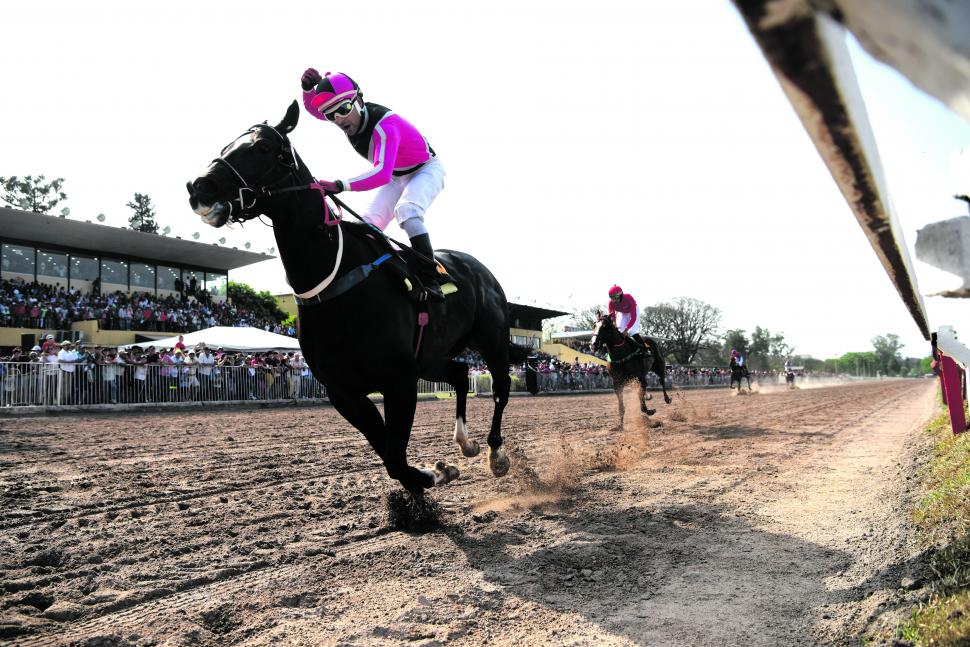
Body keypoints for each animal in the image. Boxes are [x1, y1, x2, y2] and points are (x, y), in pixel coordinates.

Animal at [184, 102, 524, 496]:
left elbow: (395, 454)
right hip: (430, 356)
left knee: (500, 387)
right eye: (227, 145)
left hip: (491, 339)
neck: (335, 279)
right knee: (458, 372)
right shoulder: (344, 391)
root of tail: (480, 269)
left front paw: (433, 474)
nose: (199, 186)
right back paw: (466, 443)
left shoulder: (399, 380)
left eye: (263, 147)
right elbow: (390, 456)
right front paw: (434, 473)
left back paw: (495, 453)